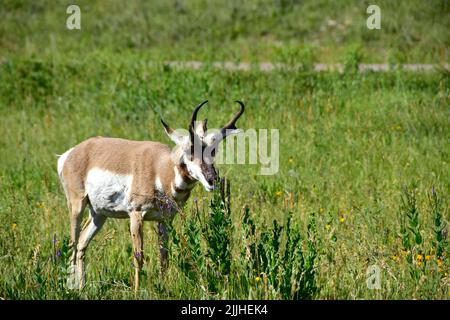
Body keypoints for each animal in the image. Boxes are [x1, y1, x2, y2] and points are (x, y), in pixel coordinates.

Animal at [58, 101, 244, 292]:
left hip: (99, 214)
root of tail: (71, 154)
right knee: (72, 244)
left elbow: (164, 257)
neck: (161, 169)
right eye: (190, 151)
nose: (212, 180)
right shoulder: (136, 214)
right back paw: (70, 287)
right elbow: (138, 257)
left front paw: (164, 288)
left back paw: (81, 287)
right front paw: (136, 292)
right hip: (77, 205)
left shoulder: (165, 220)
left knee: (82, 243)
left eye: (213, 151)